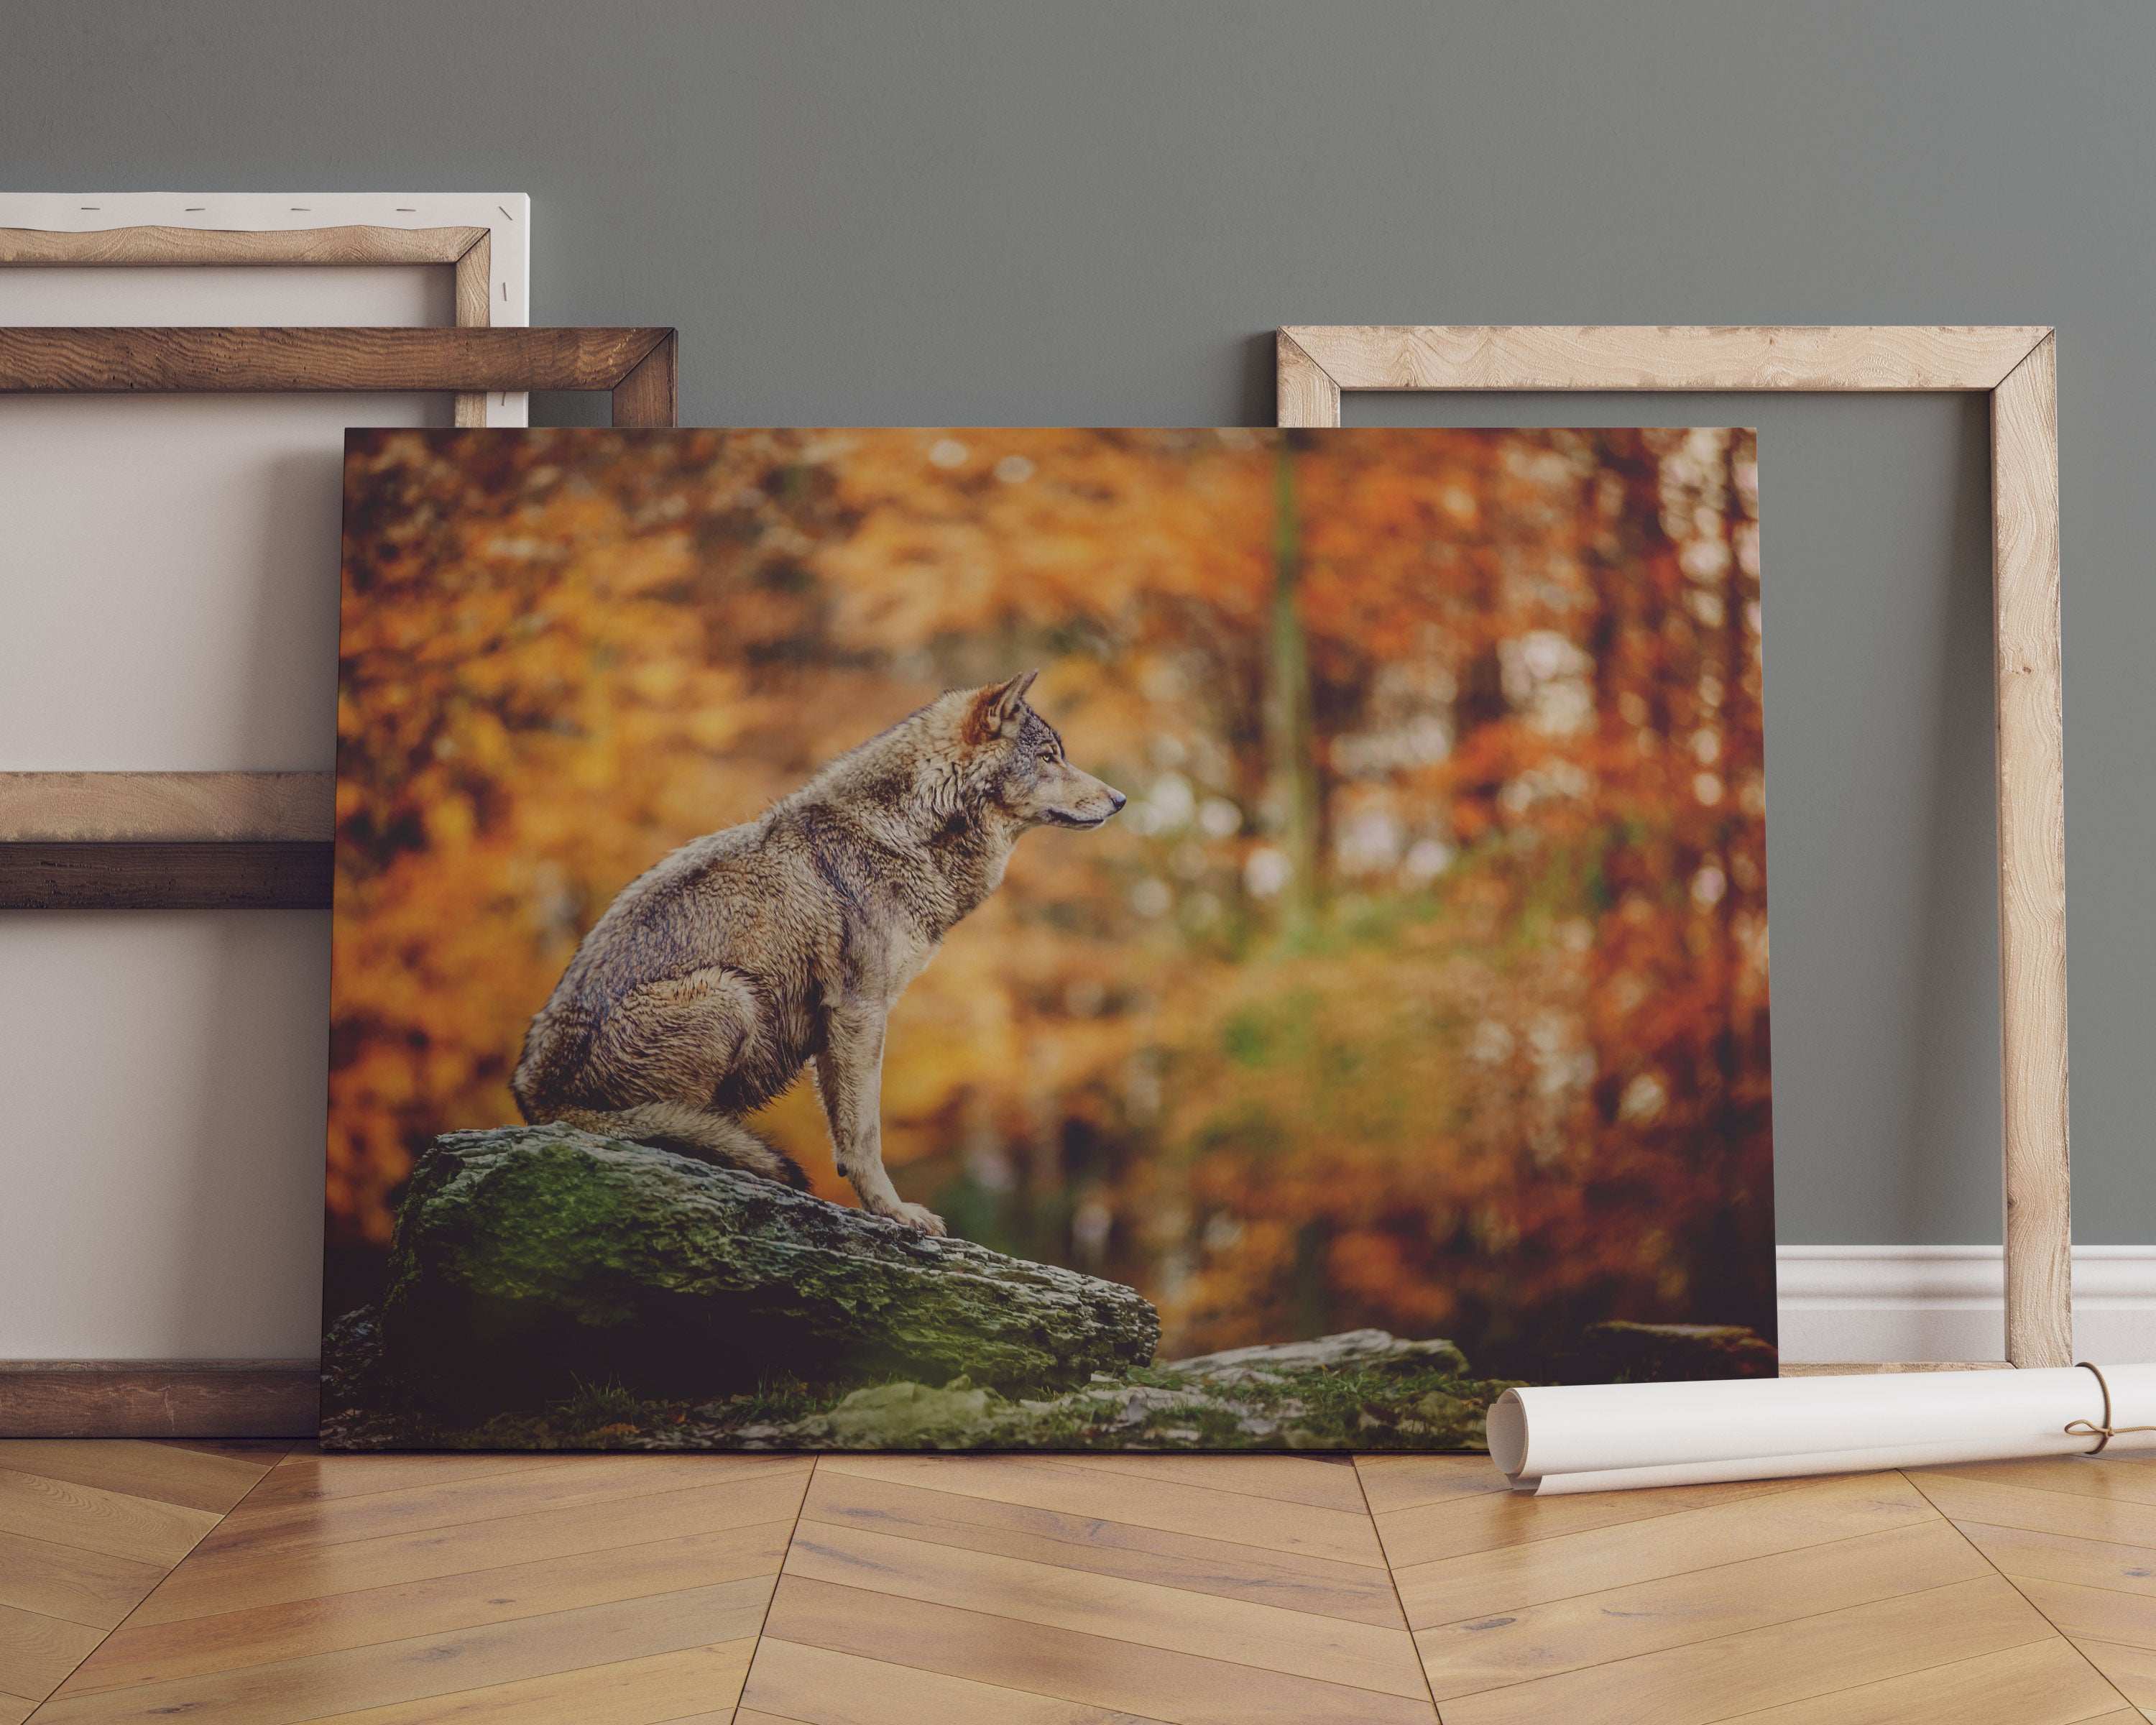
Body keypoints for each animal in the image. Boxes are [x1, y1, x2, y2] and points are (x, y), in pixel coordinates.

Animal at [511, 668, 1130, 1233]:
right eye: (1049, 757)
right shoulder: (860, 1011)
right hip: (730, 995)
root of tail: (535, 1095)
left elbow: (847, 1132)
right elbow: (865, 1135)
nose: (1121, 800)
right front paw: (896, 1213)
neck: (903, 832)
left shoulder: (842, 1026)